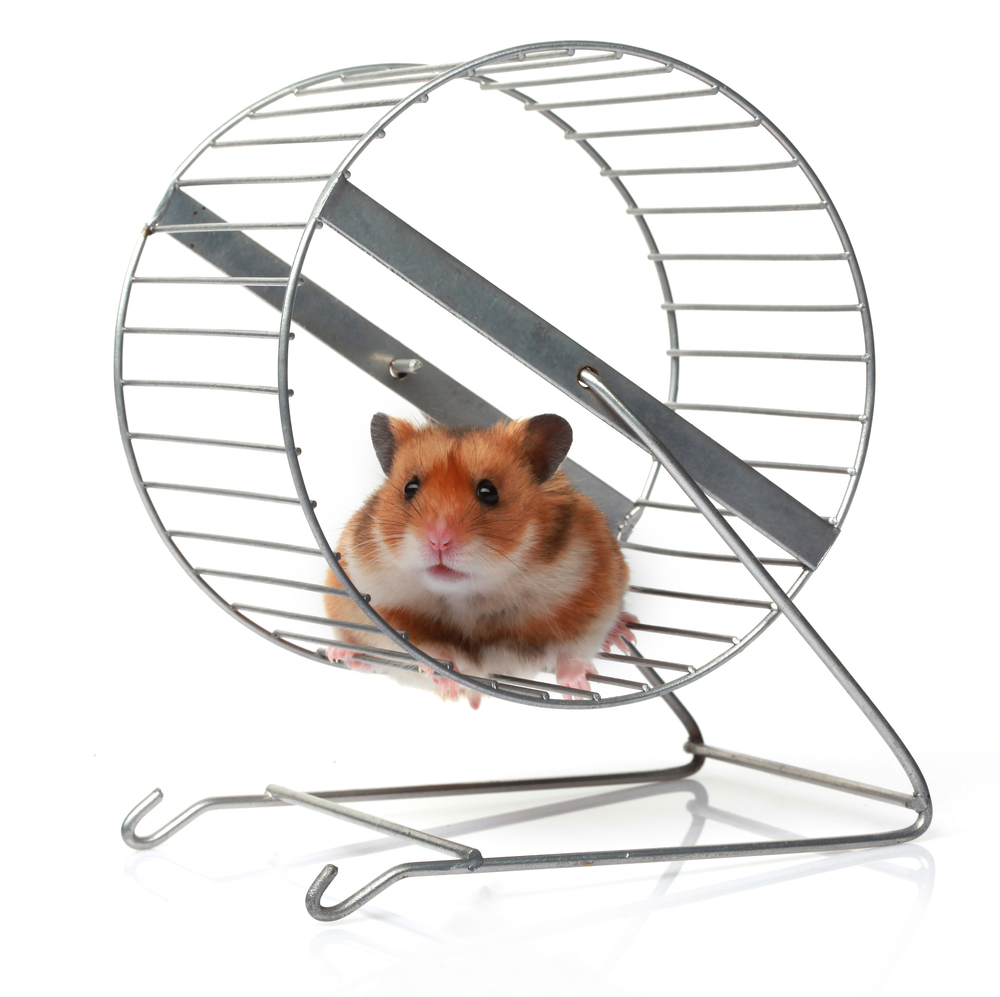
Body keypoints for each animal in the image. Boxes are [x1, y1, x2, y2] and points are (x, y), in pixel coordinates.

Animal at [323, 413, 636, 708]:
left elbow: (574, 649)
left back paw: (622, 634)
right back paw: (340, 653)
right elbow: (429, 650)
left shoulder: (592, 593)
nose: (438, 541)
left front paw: (579, 687)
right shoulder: (383, 610)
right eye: (409, 488)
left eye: (489, 492)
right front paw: (447, 683)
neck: (469, 594)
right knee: (364, 658)